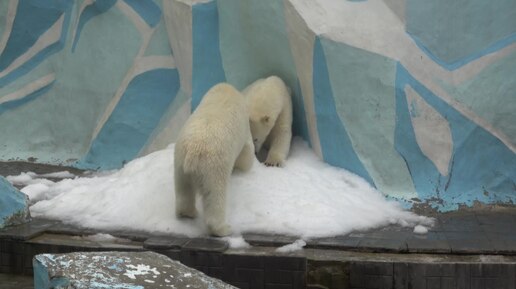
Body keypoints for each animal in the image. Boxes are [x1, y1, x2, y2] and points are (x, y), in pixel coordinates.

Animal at [173, 82, 254, 235]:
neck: (224, 91)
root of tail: (194, 151)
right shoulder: (244, 128)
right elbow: (246, 152)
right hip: (214, 167)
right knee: (215, 196)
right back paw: (223, 229)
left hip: (180, 162)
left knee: (184, 190)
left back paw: (187, 212)